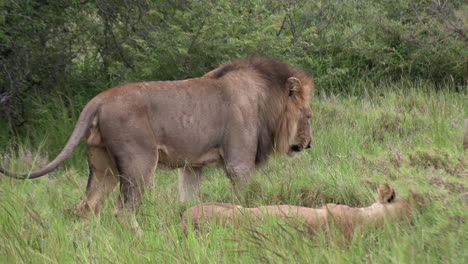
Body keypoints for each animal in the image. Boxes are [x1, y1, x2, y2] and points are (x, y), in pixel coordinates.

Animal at [0, 56, 314, 235]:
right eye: (308, 115)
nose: (309, 145)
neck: (266, 99)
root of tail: (99, 99)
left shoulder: (191, 166)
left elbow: (188, 201)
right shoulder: (239, 163)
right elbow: (247, 200)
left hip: (103, 167)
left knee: (88, 206)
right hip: (139, 162)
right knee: (123, 211)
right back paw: (143, 238)